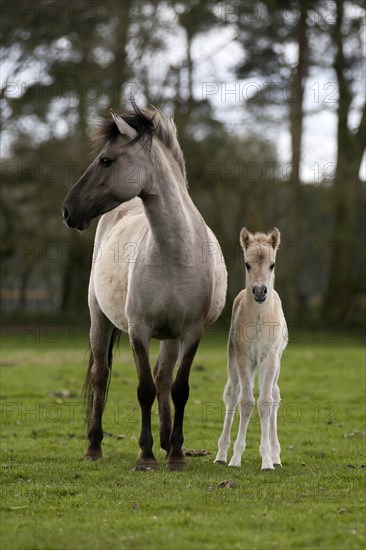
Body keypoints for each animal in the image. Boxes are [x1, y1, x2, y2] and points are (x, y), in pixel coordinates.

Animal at [63, 103, 229, 470]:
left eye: (106, 160)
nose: (67, 210)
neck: (174, 253)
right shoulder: (139, 329)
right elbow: (144, 389)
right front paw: (146, 456)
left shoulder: (191, 332)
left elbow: (179, 388)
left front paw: (176, 456)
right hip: (100, 320)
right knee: (101, 375)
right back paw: (94, 447)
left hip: (170, 336)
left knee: (164, 377)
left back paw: (168, 441)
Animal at [214, 227, 286, 470]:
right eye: (247, 264)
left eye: (272, 264)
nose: (260, 291)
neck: (258, 321)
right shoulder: (244, 357)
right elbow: (245, 402)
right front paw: (235, 458)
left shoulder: (270, 358)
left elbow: (265, 402)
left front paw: (268, 461)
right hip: (232, 360)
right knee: (232, 394)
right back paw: (221, 454)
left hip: (274, 364)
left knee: (275, 395)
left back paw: (276, 455)